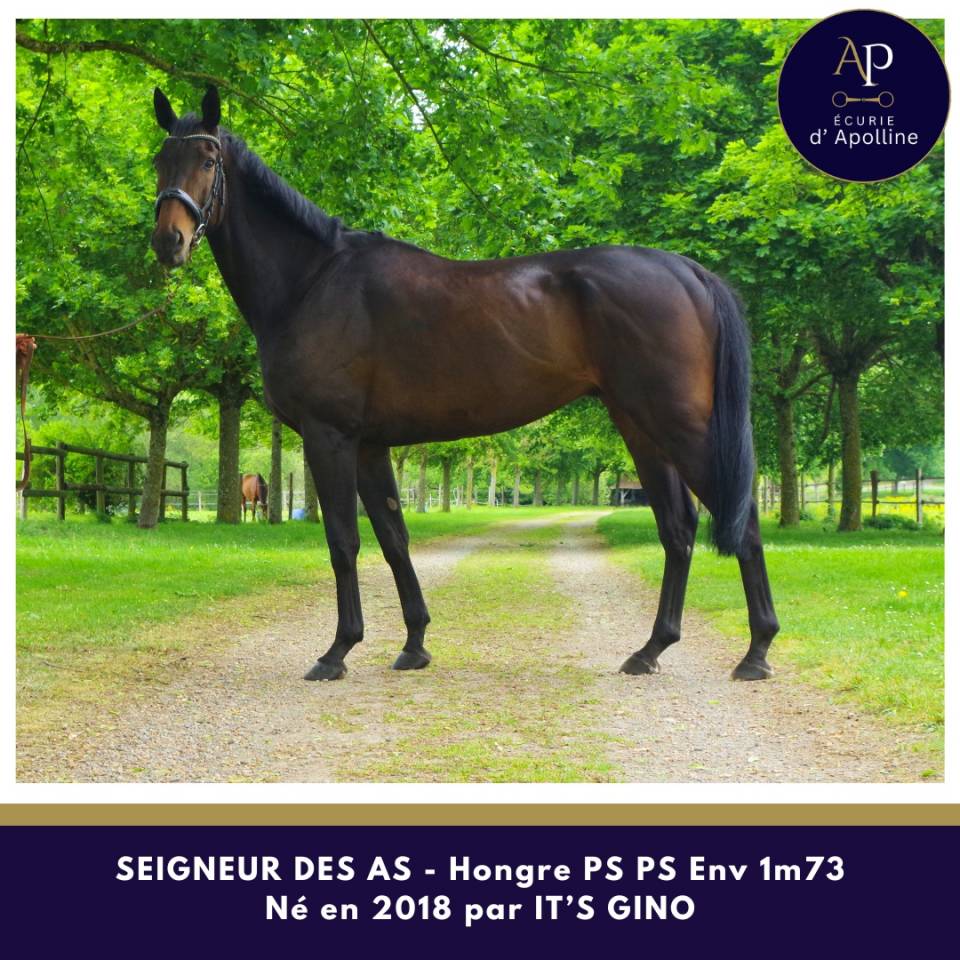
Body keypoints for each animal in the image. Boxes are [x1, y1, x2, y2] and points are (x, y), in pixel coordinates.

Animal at [150, 86, 780, 683]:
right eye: (160, 160)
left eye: (208, 159)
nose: (168, 242)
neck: (313, 281)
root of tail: (688, 271)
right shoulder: (370, 445)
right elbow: (394, 538)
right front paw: (414, 644)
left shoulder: (329, 436)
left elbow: (344, 542)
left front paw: (337, 651)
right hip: (641, 428)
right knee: (678, 528)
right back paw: (651, 650)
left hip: (680, 425)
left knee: (741, 522)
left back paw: (756, 652)